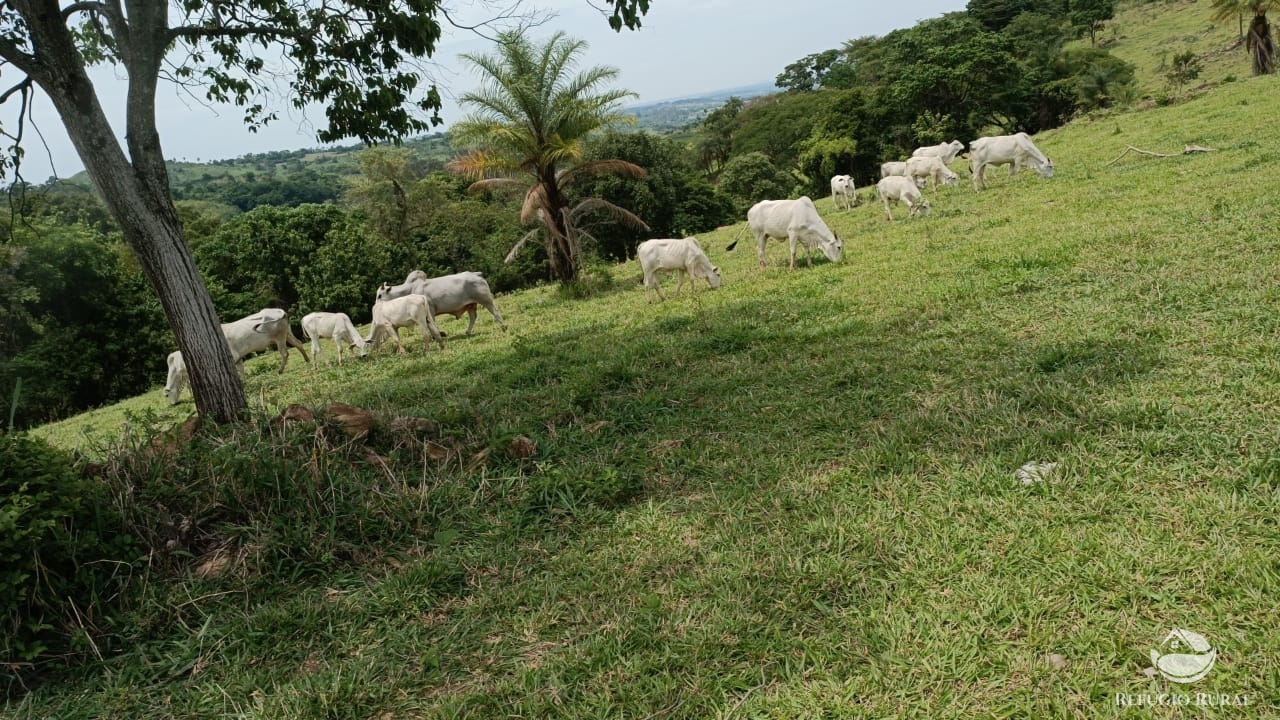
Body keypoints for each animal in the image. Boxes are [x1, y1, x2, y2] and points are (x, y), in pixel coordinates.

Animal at [162, 304, 309, 399]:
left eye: (167, 395)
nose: (173, 403)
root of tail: (280, 311)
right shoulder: (238, 358)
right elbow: (242, 370)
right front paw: (243, 382)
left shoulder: (233, 357)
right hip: (287, 334)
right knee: (299, 343)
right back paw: (307, 360)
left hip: (279, 338)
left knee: (285, 353)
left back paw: (280, 370)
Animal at [373, 269, 504, 335]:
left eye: (379, 295)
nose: (375, 307)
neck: (410, 289)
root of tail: (477, 274)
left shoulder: (430, 310)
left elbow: (431, 324)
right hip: (471, 305)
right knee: (473, 317)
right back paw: (467, 332)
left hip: (486, 300)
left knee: (495, 311)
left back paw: (504, 327)